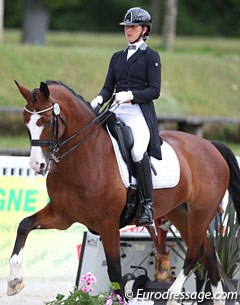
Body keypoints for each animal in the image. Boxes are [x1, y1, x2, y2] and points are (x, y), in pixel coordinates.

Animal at [7, 79, 240, 304]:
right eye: (26, 123)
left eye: (46, 121)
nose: (37, 165)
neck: (85, 158)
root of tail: (210, 145)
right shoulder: (62, 216)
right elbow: (24, 225)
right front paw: (13, 281)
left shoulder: (108, 223)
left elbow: (115, 271)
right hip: (180, 212)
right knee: (208, 252)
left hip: (201, 212)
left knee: (195, 252)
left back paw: (173, 296)